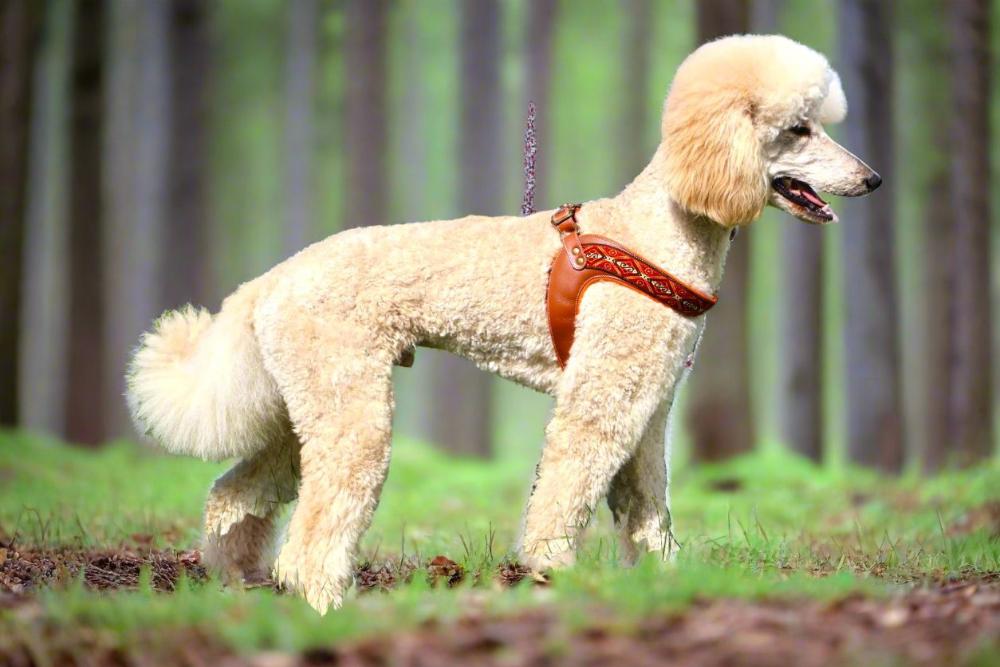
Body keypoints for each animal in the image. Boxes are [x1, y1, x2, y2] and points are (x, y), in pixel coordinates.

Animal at [127, 34, 884, 612]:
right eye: (799, 128)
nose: (874, 180)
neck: (658, 229)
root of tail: (271, 279)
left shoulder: (648, 409)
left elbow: (647, 510)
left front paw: (664, 581)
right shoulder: (603, 401)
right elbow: (567, 487)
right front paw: (555, 571)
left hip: (305, 412)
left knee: (233, 494)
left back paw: (236, 579)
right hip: (352, 411)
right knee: (314, 531)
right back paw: (326, 604)